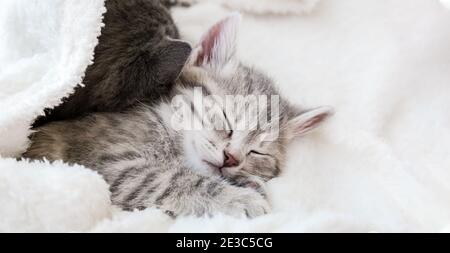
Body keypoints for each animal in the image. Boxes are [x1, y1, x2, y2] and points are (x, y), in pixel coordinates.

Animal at [24, 14, 334, 218]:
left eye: (258, 152)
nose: (231, 158)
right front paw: (239, 197)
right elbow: (171, 180)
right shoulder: (107, 161)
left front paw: (246, 181)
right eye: (226, 118)